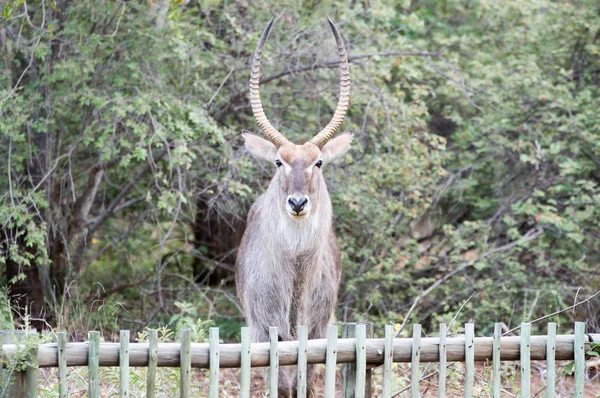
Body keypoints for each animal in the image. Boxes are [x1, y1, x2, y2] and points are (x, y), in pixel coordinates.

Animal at [236, 17, 352, 396]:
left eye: (319, 162)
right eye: (278, 161)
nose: (298, 202)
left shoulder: (316, 330)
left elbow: (308, 381)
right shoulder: (265, 330)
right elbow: (282, 384)